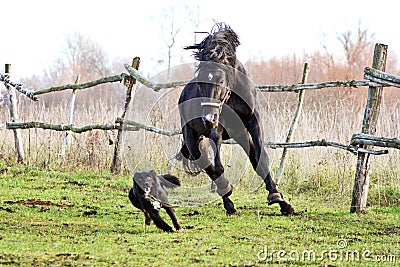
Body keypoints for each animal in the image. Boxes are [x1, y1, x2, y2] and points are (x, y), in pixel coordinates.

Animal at [178, 23, 294, 216]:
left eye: (220, 80)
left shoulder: (253, 122)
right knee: (206, 164)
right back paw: (228, 201)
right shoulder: (217, 127)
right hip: (192, 138)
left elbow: (261, 158)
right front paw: (228, 193)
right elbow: (217, 167)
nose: (207, 119)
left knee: (252, 159)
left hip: (240, 134)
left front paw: (278, 198)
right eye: (200, 83)